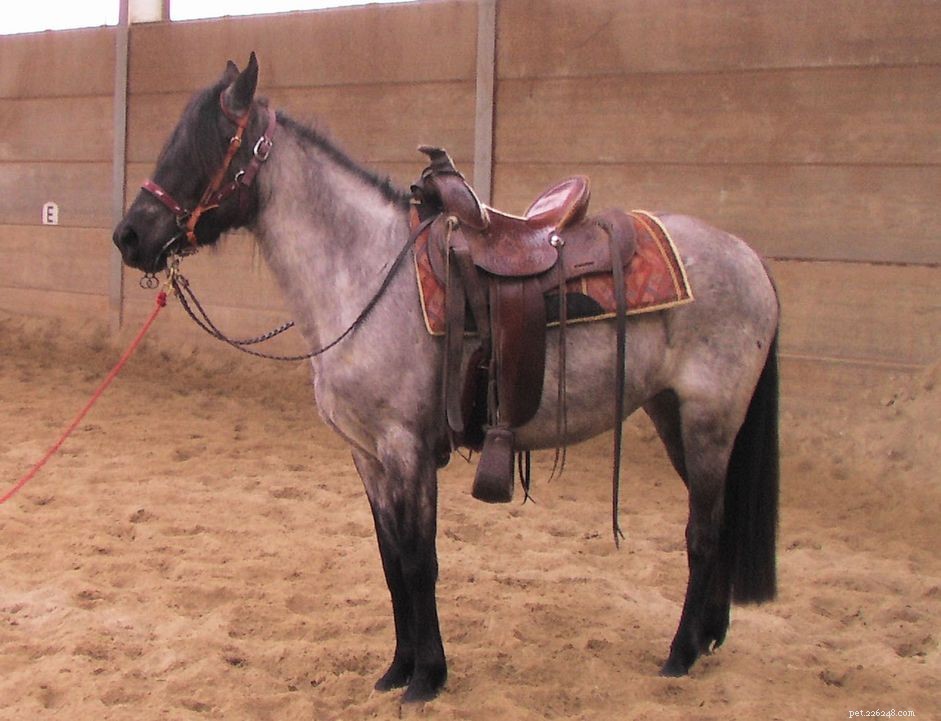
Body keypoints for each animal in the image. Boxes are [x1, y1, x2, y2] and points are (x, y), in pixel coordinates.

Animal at [113, 54, 780, 703]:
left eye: (208, 143)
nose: (129, 236)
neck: (365, 272)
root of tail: (747, 255)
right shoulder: (368, 456)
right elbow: (391, 562)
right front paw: (397, 669)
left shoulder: (406, 449)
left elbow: (419, 562)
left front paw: (427, 677)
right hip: (672, 415)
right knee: (715, 523)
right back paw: (707, 636)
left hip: (708, 424)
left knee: (703, 531)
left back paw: (681, 654)